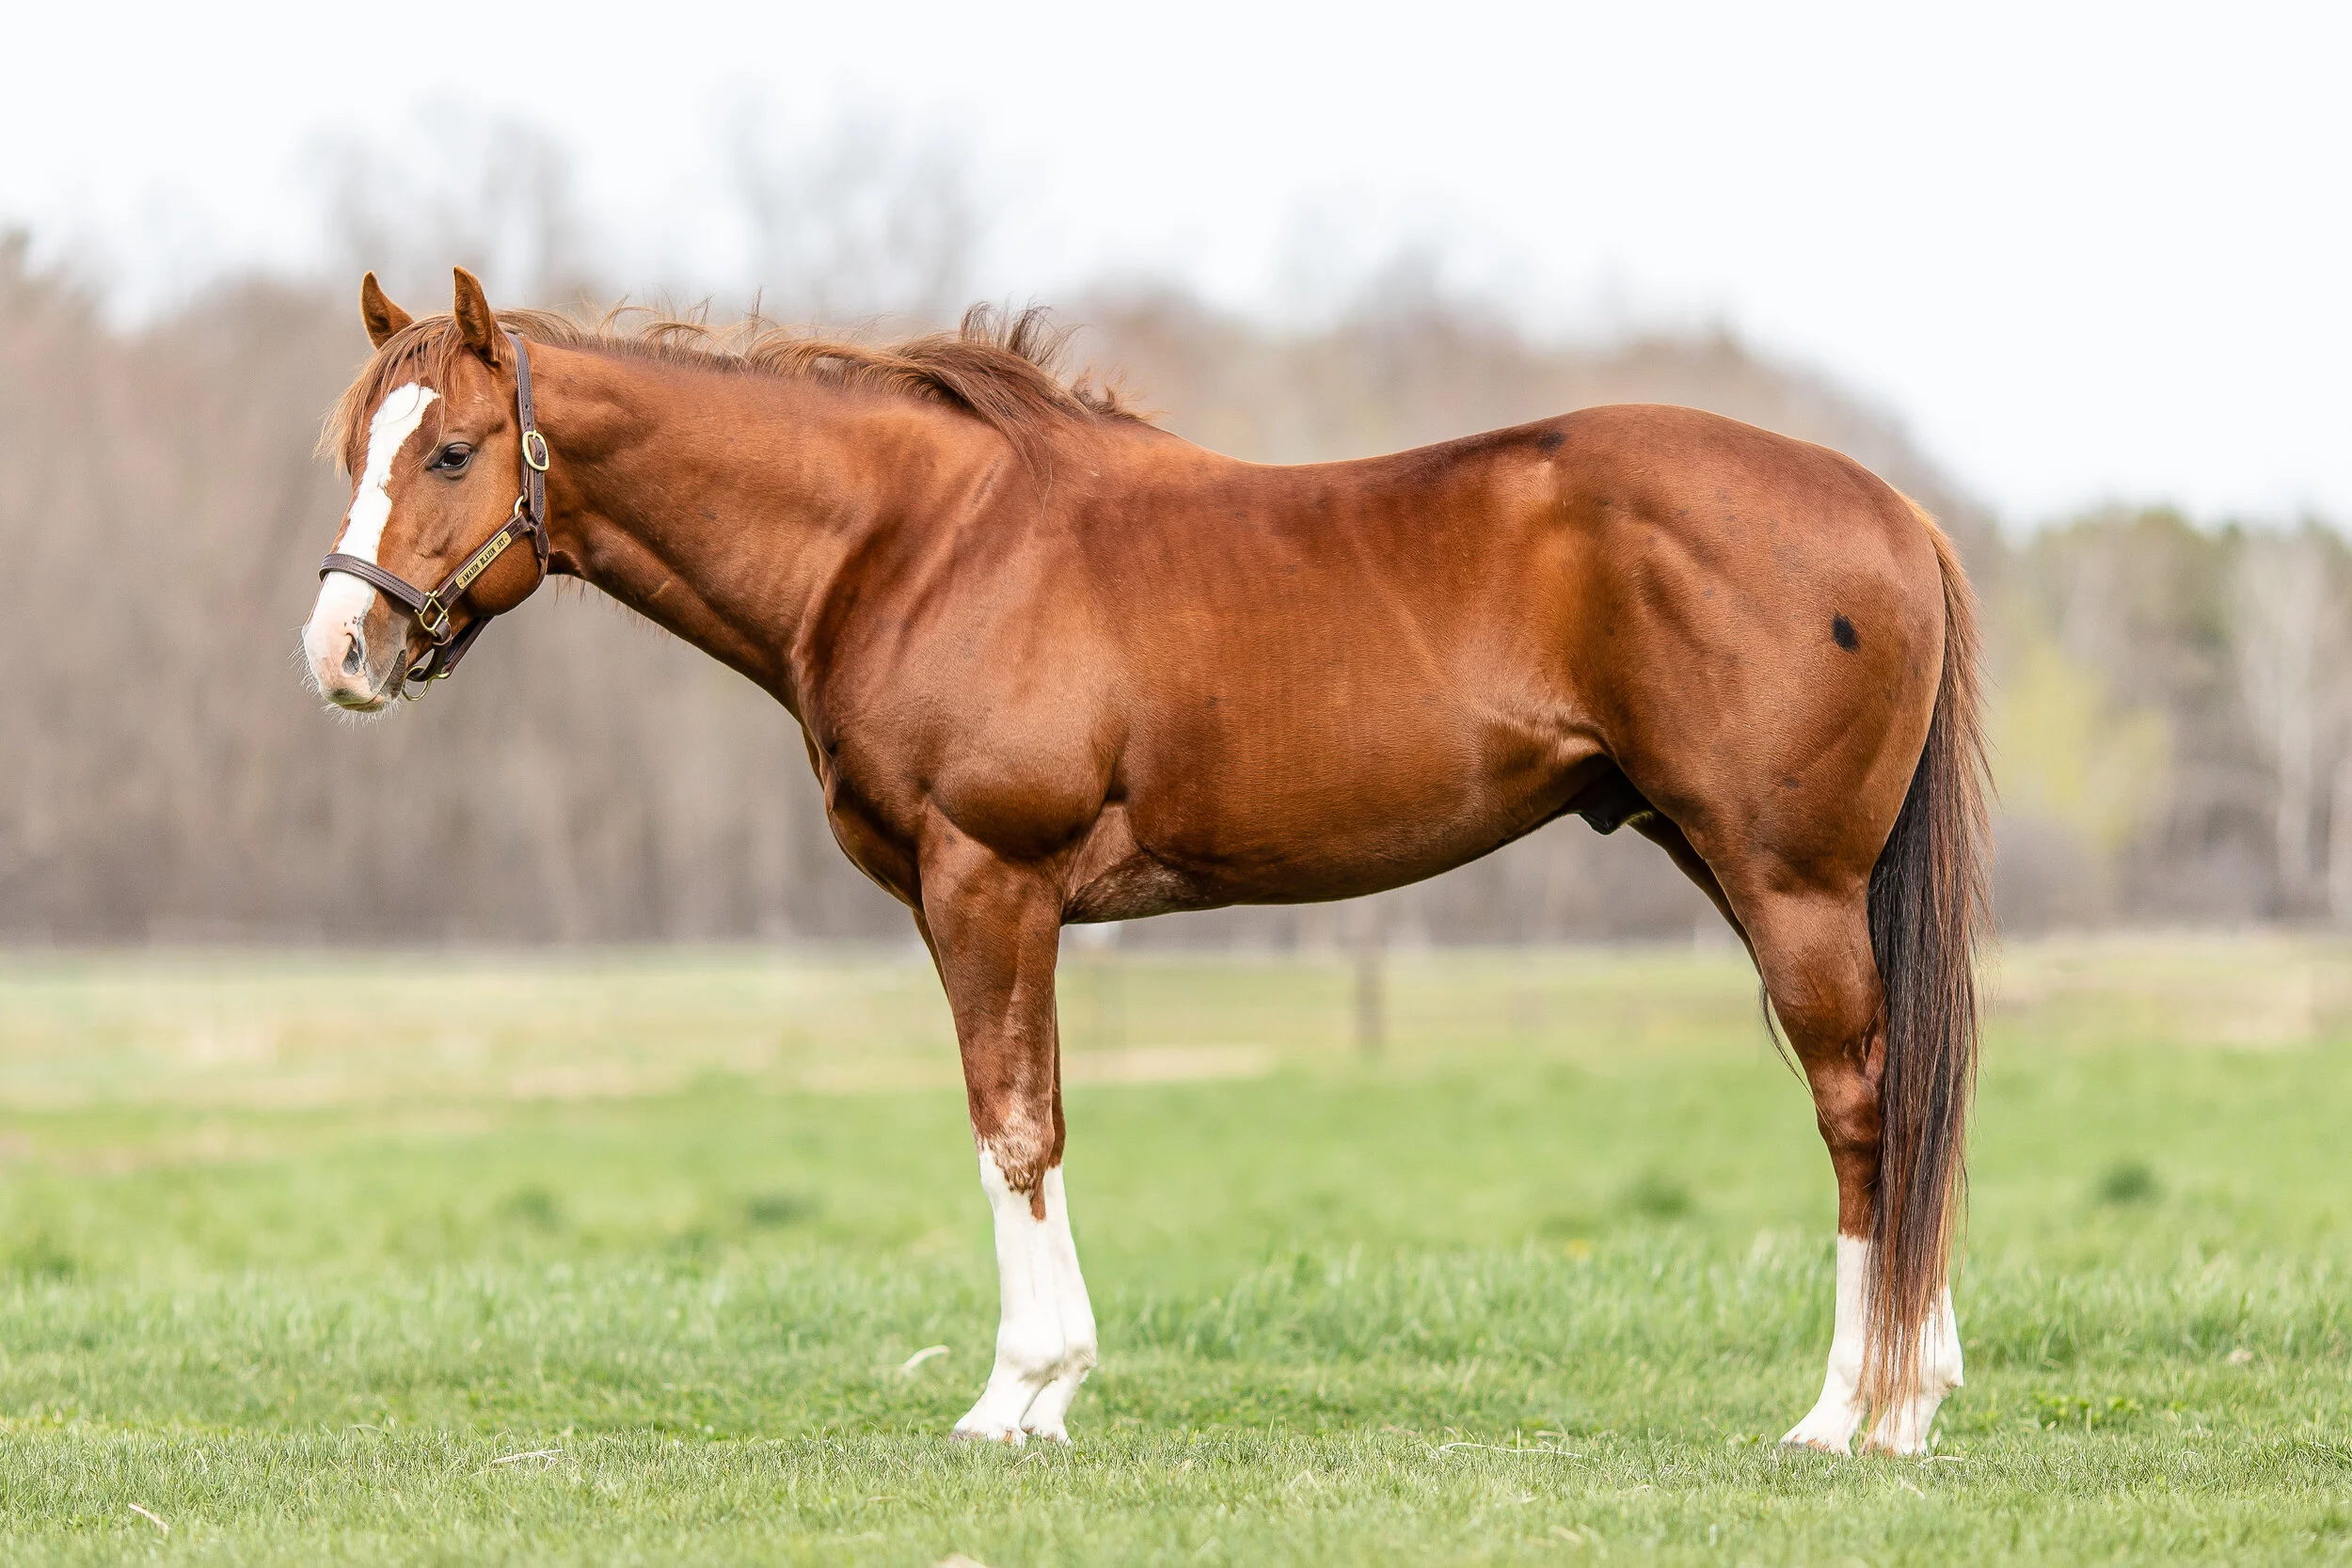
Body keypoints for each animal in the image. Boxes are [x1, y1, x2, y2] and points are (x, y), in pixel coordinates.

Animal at [301, 268, 1988, 1453]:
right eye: (353, 447)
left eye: (452, 451)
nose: (339, 651)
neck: (909, 545)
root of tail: (1897, 509)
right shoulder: (1013, 901)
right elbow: (1038, 1120)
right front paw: (1049, 1389)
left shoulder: (989, 880)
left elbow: (1012, 1126)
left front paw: (1018, 1392)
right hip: (1736, 864)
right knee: (1895, 1106)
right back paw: (1915, 1388)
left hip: (1786, 884)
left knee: (1863, 1109)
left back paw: (1854, 1411)